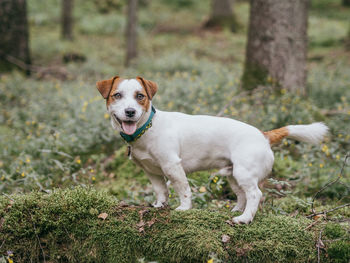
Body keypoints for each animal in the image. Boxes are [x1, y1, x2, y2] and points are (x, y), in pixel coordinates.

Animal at [95, 76, 328, 225]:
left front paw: (184, 208)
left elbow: (183, 189)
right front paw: (160, 205)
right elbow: (161, 190)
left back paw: (244, 218)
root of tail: (264, 134)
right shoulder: (151, 171)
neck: (147, 128)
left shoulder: (173, 165)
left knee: (255, 194)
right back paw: (237, 209)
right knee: (242, 195)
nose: (130, 112)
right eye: (117, 95)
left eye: (140, 96)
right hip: (233, 175)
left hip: (244, 173)